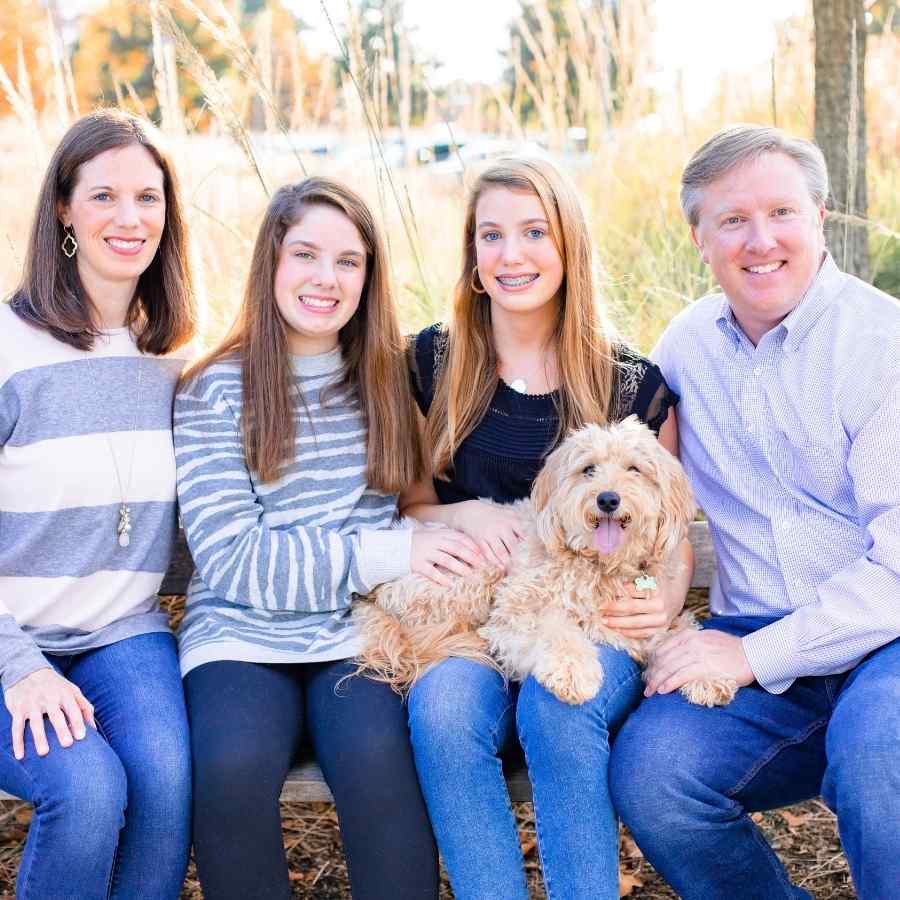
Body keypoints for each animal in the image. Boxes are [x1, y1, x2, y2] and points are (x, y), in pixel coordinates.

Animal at [356, 416, 740, 712]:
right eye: (588, 470)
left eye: (634, 469)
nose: (608, 499)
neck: (601, 565)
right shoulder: (512, 614)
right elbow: (556, 630)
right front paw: (574, 671)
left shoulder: (657, 619)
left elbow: (683, 635)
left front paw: (707, 672)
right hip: (474, 573)